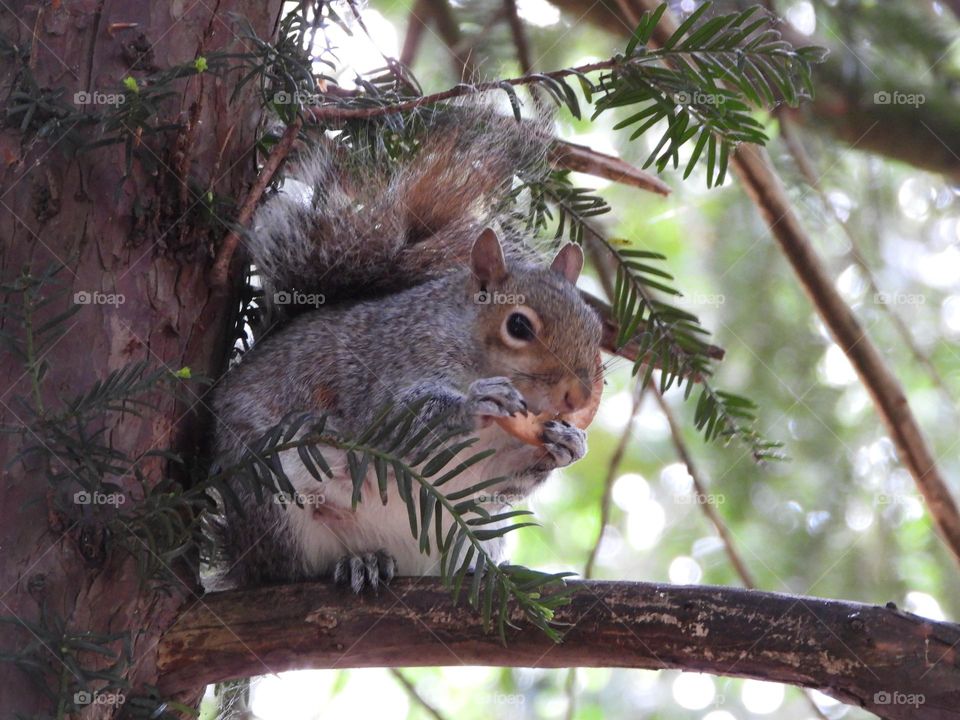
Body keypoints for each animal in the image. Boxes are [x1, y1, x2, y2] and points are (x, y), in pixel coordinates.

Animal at [207, 106, 604, 592]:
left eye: (594, 326)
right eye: (518, 325)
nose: (578, 397)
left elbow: (504, 480)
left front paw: (568, 443)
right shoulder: (385, 365)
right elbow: (393, 423)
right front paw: (477, 402)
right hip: (277, 497)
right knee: (291, 569)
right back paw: (359, 561)